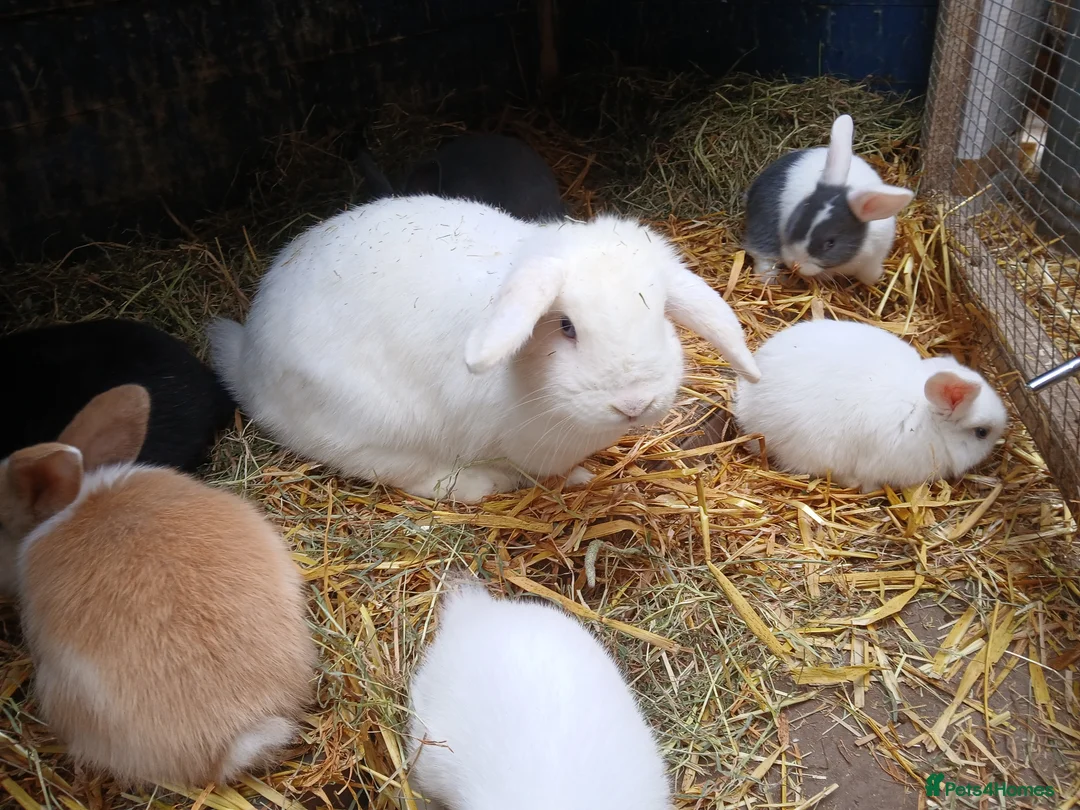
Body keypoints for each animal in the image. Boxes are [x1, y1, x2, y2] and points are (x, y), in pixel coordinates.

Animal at [209, 195, 760, 504]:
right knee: (400, 471)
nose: (633, 402)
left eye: (659, 316)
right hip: (371, 423)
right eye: (566, 326)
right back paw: (479, 486)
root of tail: (248, 359)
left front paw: (580, 475)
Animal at [743, 114, 914, 285]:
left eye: (830, 243)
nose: (794, 263)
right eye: (796, 223)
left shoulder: (873, 260)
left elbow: (870, 277)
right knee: (763, 258)